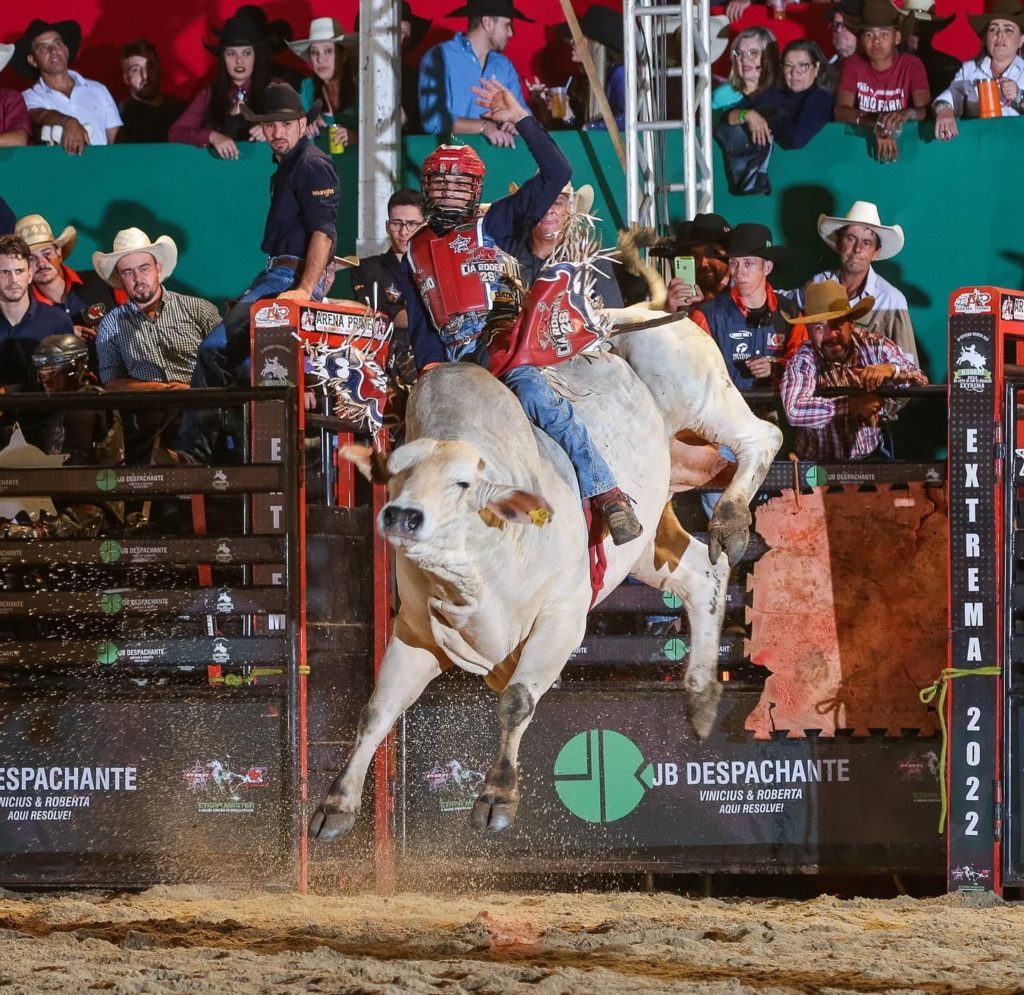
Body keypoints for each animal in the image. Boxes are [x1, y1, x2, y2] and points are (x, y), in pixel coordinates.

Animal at [307, 313, 778, 839]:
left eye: (461, 484)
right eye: (394, 477)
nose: (401, 517)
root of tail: (629, 317)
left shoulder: (563, 617)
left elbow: (516, 700)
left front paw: (497, 797)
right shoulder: (416, 632)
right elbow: (377, 710)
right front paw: (335, 805)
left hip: (700, 396)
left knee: (763, 436)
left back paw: (731, 520)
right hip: (648, 537)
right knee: (702, 572)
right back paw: (700, 697)